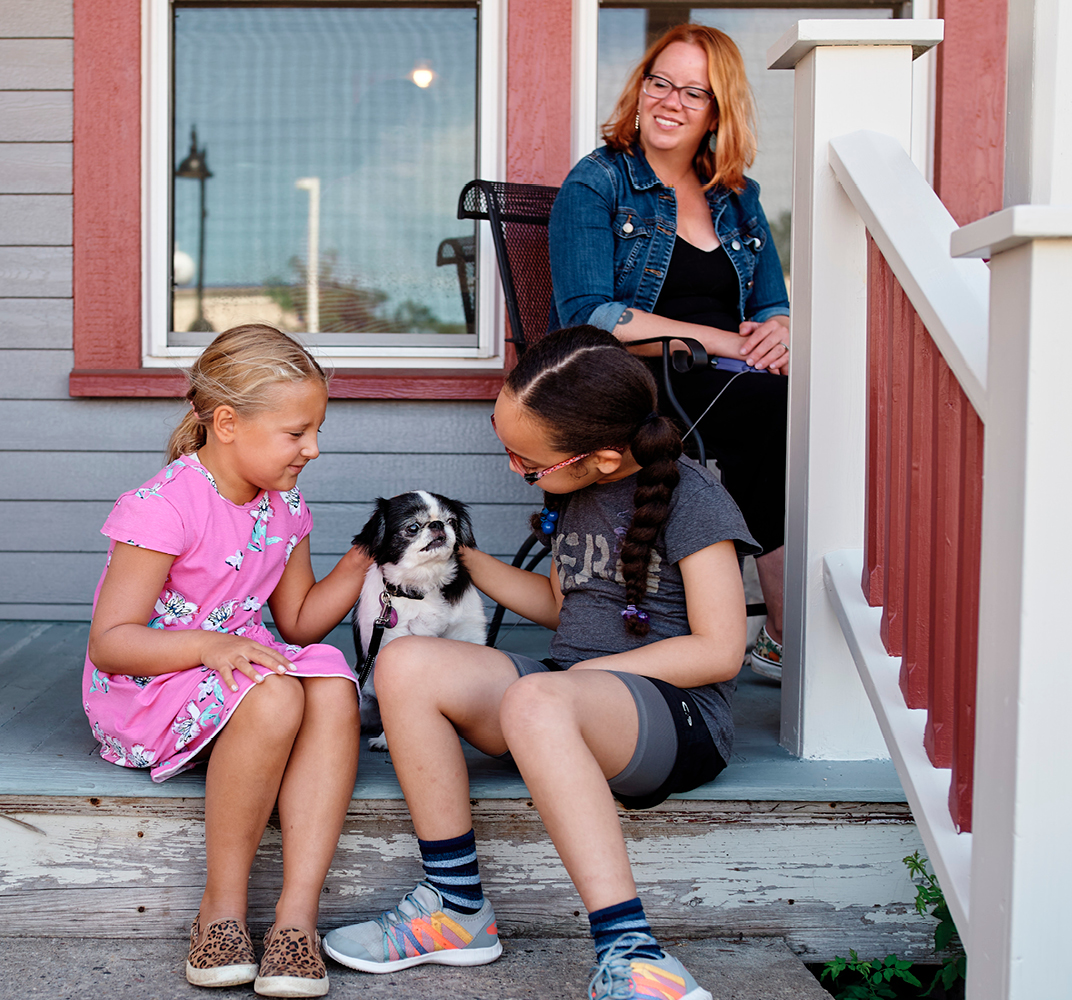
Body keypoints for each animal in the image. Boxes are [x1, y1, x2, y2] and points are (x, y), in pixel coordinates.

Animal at [351, 490, 486, 750]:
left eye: (452, 521)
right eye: (412, 527)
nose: (437, 524)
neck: (423, 586)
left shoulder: (467, 633)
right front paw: (386, 740)